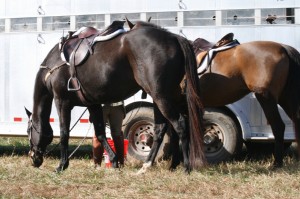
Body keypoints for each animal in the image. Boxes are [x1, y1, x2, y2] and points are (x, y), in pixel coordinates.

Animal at [25, 20, 206, 173]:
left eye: (28, 130)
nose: (34, 159)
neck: (54, 64)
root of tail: (174, 38)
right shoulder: (93, 104)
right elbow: (100, 132)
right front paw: (114, 160)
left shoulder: (62, 102)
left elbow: (64, 133)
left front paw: (62, 165)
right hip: (162, 98)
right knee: (163, 129)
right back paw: (155, 165)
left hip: (161, 97)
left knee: (180, 125)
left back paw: (186, 167)